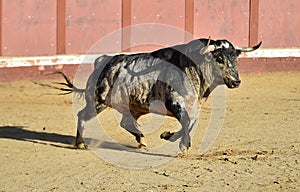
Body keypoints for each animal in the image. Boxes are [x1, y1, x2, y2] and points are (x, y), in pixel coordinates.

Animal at [56, 38, 262, 154]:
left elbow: (190, 123)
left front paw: (169, 136)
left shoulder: (194, 106)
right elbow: (186, 121)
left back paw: (142, 140)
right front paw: (183, 145)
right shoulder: (174, 102)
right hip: (98, 100)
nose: (236, 82)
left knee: (126, 122)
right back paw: (80, 144)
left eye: (235, 58)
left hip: (131, 106)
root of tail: (103, 60)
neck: (192, 67)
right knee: (83, 115)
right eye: (219, 58)